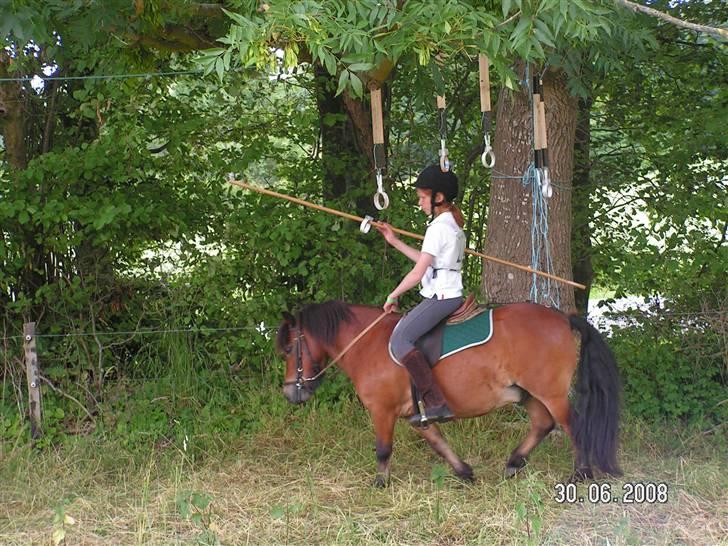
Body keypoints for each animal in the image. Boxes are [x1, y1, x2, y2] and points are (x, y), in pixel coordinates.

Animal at [274, 300, 620, 482]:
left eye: (290, 349)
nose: (290, 393)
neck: (368, 343)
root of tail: (563, 318)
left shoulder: (382, 410)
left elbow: (383, 449)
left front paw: (380, 483)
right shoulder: (417, 415)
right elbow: (438, 442)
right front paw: (464, 471)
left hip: (550, 392)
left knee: (571, 425)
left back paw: (581, 473)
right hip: (526, 392)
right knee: (543, 424)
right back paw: (514, 462)